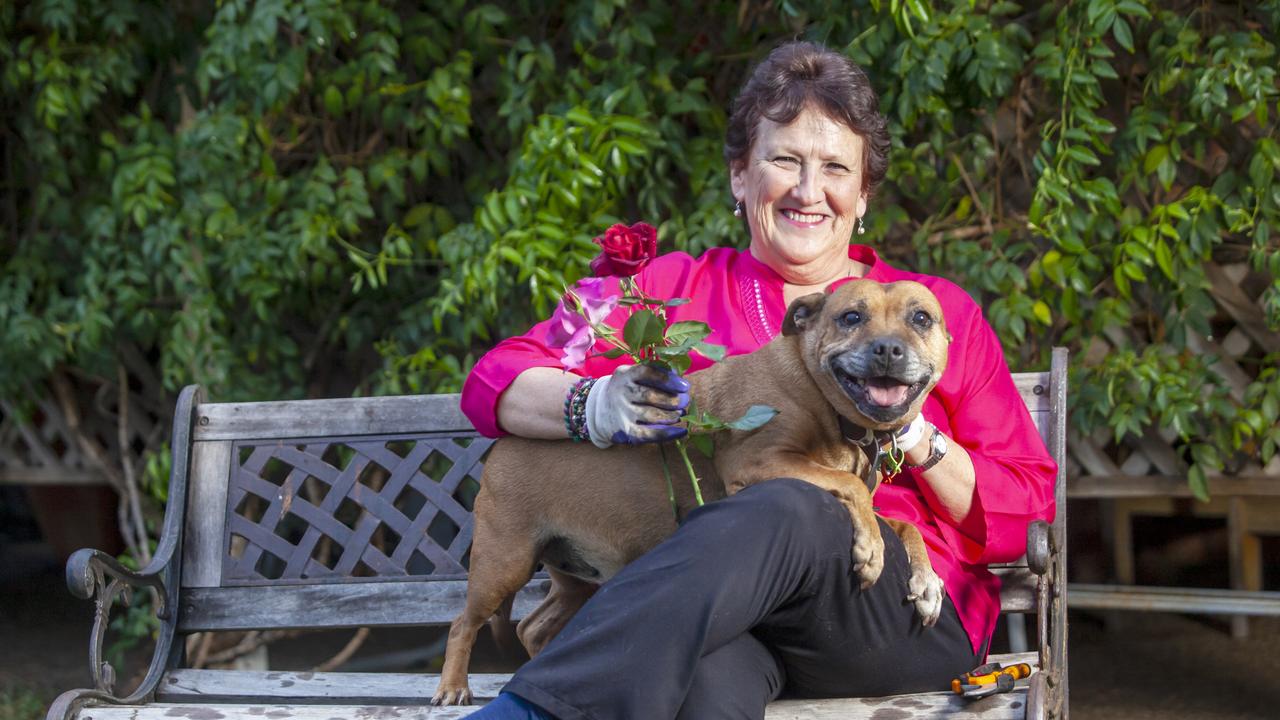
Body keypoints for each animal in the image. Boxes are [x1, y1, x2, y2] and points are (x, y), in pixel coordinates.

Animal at [430, 278, 952, 702]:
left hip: (573, 577)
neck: (826, 402)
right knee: (462, 624)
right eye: (851, 317)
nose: (888, 350)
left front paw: (926, 581)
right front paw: (871, 551)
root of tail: (504, 442)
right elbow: (851, 488)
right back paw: (453, 687)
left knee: (534, 627)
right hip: (503, 564)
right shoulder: (760, 462)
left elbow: (903, 525)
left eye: (921, 318)